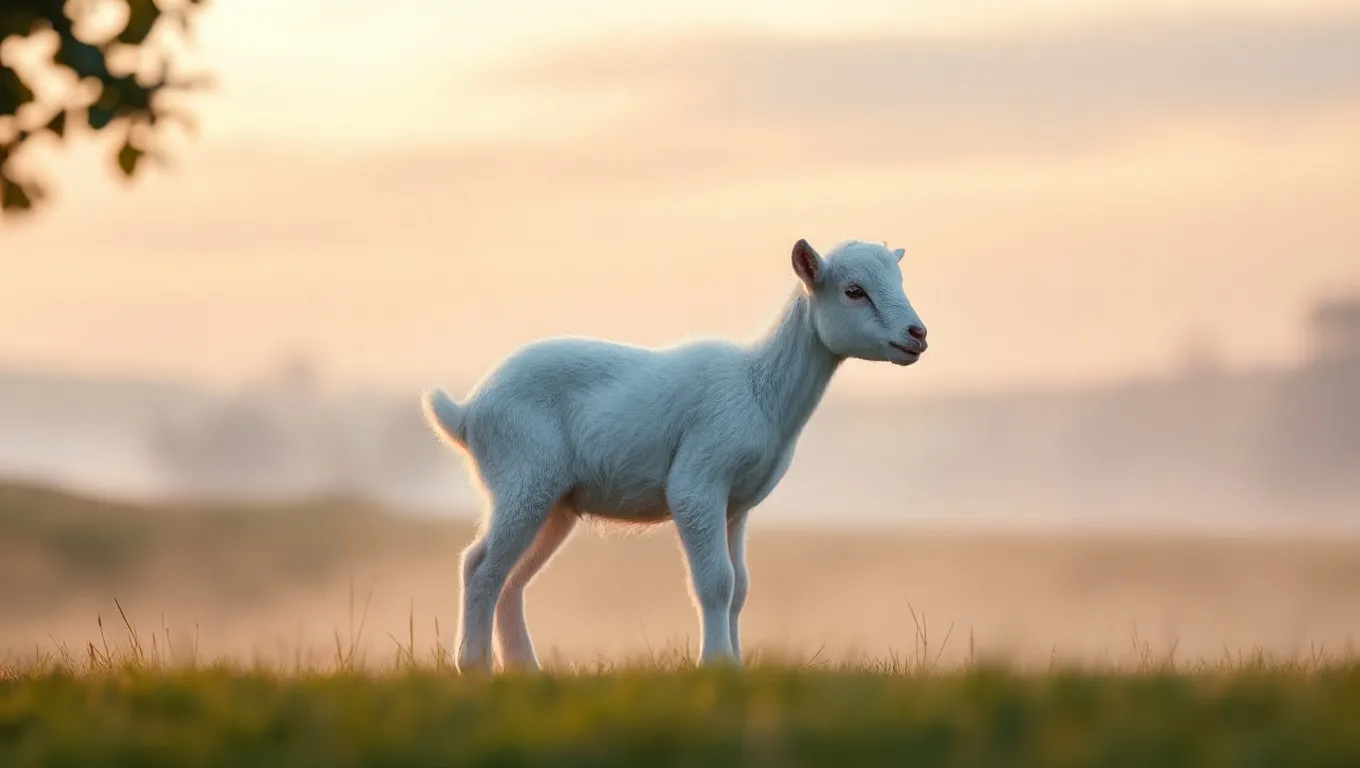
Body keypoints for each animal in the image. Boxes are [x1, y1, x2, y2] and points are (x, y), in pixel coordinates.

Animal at [422, 238, 929, 672]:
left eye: (901, 281)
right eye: (854, 291)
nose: (918, 334)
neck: (761, 391)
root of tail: (467, 412)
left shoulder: (737, 505)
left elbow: (740, 587)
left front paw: (737, 666)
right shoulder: (698, 483)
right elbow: (716, 581)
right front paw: (717, 665)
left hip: (553, 502)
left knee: (509, 578)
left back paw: (522, 670)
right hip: (522, 474)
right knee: (480, 566)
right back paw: (473, 666)